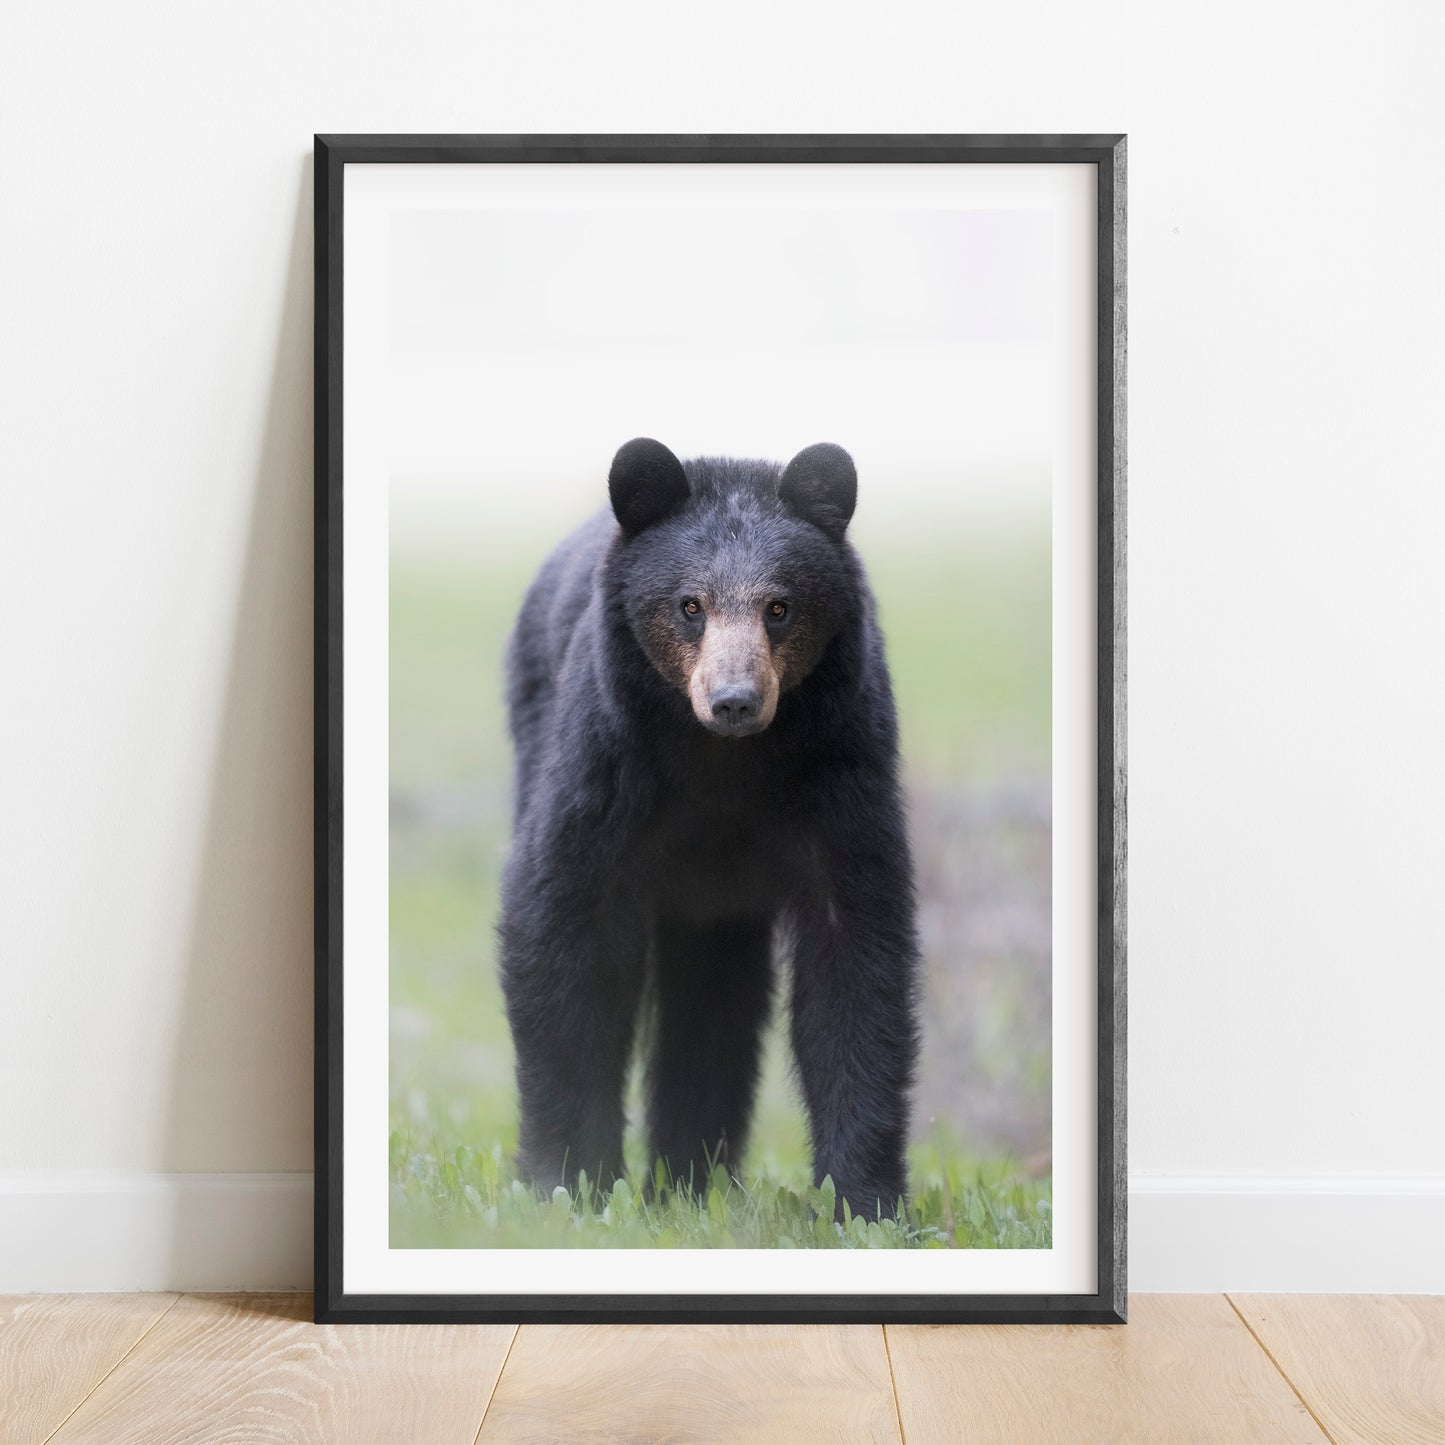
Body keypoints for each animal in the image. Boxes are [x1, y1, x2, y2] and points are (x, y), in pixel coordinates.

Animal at [498, 438, 920, 1222]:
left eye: (779, 607)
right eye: (689, 605)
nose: (734, 700)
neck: (723, 765)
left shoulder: (843, 766)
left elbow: (858, 955)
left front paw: (864, 1202)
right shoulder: (605, 761)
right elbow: (561, 922)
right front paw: (566, 1181)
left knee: (716, 1001)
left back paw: (690, 1180)